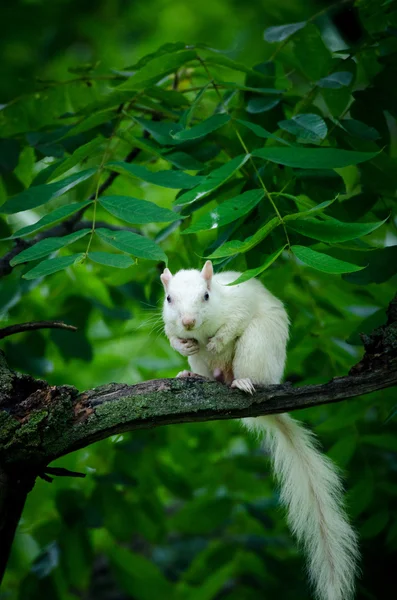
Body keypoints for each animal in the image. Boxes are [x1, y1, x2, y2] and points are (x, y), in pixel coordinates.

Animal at [161, 262, 358, 600]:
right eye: (169, 299)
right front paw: (181, 342)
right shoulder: (168, 323)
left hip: (257, 346)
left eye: (206, 295)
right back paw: (192, 374)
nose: (187, 322)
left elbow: (233, 324)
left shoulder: (239, 303)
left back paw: (241, 382)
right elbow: (171, 336)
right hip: (204, 363)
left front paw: (217, 341)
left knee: (248, 367)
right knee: (207, 370)